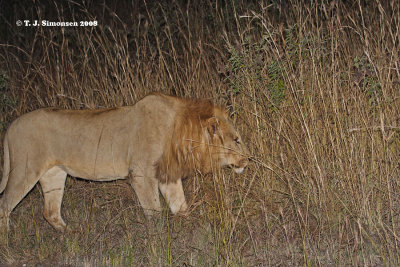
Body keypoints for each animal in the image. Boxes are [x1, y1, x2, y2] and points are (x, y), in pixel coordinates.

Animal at [0, 93, 248, 231]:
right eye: (236, 140)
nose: (247, 160)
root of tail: (12, 125)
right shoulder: (142, 173)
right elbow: (154, 210)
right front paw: (159, 237)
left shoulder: (167, 175)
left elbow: (180, 205)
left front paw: (188, 228)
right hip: (25, 171)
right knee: (5, 205)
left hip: (54, 174)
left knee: (49, 212)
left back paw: (71, 235)